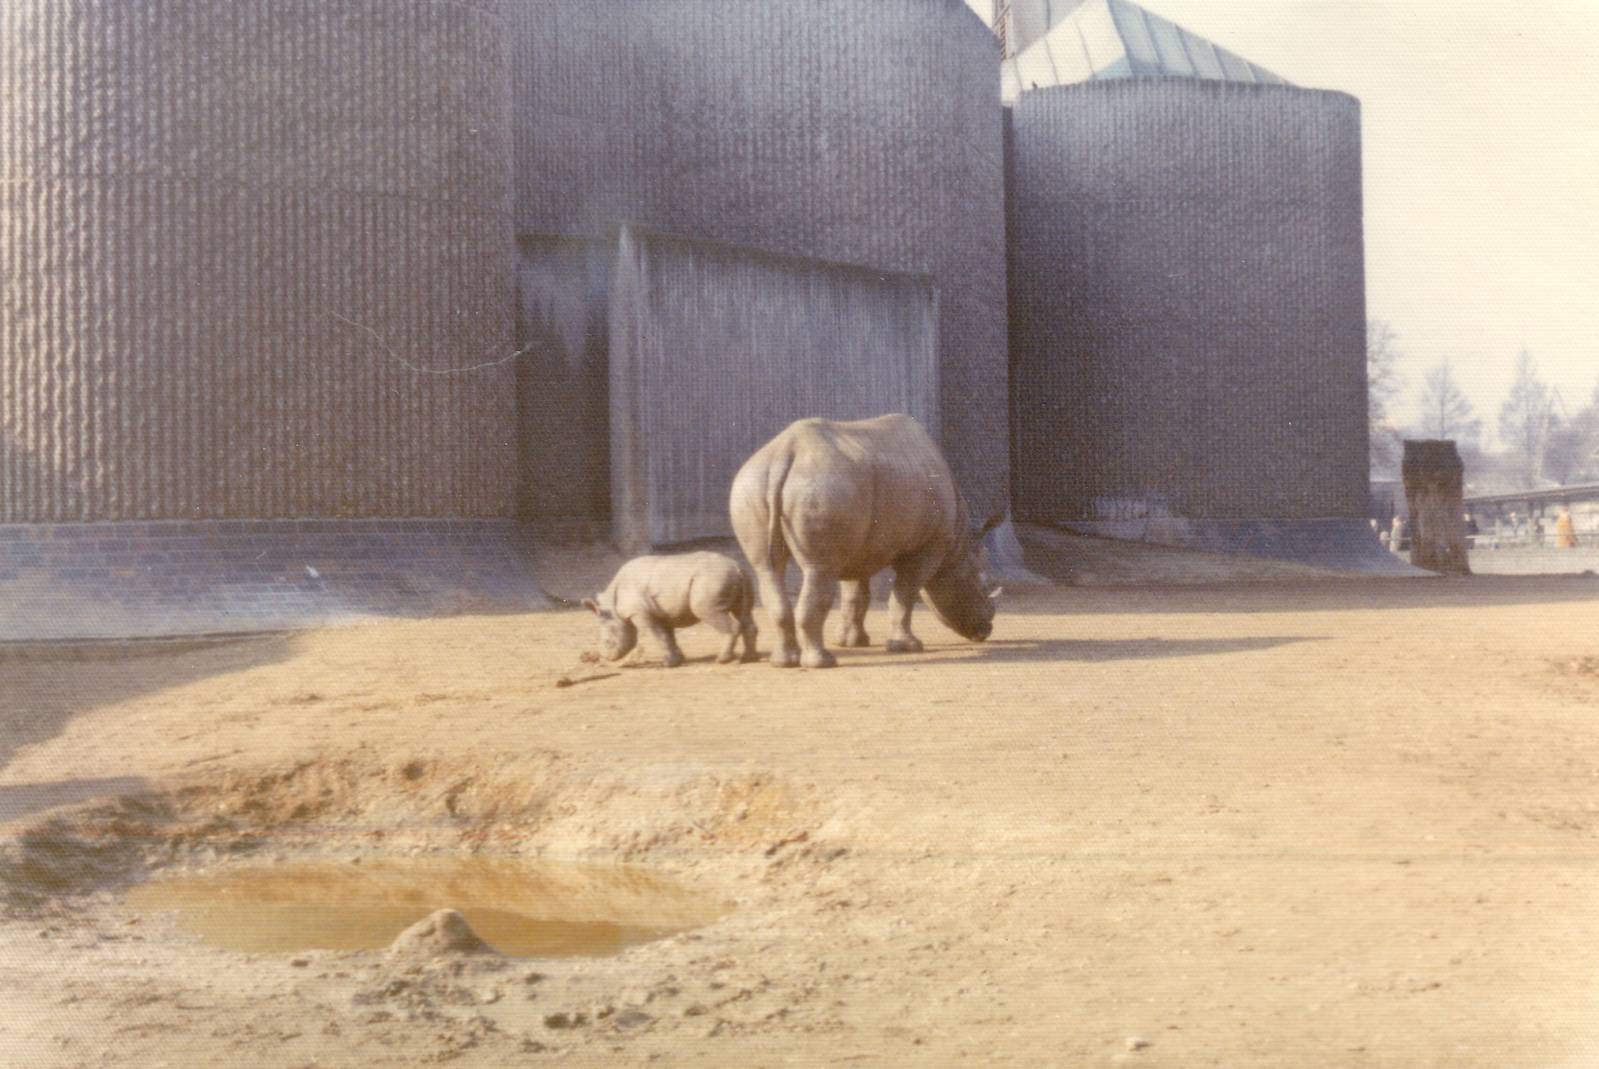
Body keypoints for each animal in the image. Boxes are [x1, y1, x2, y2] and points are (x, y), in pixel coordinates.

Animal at [582, 552, 759, 668]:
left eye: (608, 642)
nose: (606, 657)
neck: (612, 606)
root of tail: (736, 567)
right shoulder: (662, 612)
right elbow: (668, 636)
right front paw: (676, 661)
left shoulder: (641, 612)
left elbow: (657, 634)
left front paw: (668, 664)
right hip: (742, 577)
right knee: (744, 613)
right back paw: (748, 659)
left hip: (711, 580)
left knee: (707, 611)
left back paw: (722, 660)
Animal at [729, 414, 1001, 669]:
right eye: (985, 585)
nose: (986, 630)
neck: (960, 545)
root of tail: (784, 454)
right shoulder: (927, 548)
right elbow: (904, 595)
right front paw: (908, 646)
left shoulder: (860, 548)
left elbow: (855, 595)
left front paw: (851, 642)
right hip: (821, 487)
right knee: (819, 570)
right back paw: (823, 663)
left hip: (754, 485)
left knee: (768, 569)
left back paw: (784, 662)